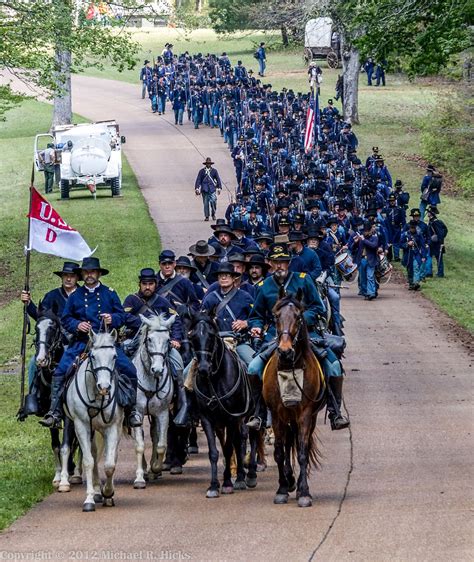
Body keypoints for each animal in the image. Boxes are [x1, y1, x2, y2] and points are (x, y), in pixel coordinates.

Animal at [61, 330, 124, 510]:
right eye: (93, 356)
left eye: (115, 356)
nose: (104, 387)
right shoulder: (81, 426)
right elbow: (89, 461)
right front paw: (89, 498)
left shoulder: (112, 427)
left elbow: (109, 464)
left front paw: (108, 493)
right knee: (94, 455)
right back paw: (95, 491)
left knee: (110, 456)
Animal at [131, 312, 176, 488]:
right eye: (149, 339)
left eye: (168, 340)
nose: (157, 369)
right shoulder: (136, 413)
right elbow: (139, 445)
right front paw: (139, 478)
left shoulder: (162, 413)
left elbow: (161, 444)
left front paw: (156, 468)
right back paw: (144, 469)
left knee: (154, 436)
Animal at [188, 308, 254, 496]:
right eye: (193, 336)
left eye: (211, 335)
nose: (203, 369)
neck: (215, 380)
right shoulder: (207, 419)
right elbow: (215, 452)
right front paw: (213, 485)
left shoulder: (232, 419)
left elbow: (229, 448)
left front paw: (227, 483)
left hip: (245, 417)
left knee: (245, 440)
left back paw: (245, 476)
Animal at [262, 290, 326, 506]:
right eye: (276, 316)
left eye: (298, 316)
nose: (284, 351)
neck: (290, 366)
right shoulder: (276, 413)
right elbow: (280, 451)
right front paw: (282, 488)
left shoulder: (305, 414)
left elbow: (303, 451)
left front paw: (304, 492)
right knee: (288, 442)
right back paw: (289, 481)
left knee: (297, 443)